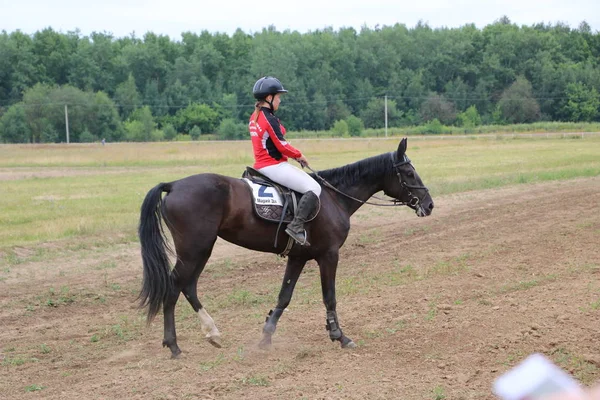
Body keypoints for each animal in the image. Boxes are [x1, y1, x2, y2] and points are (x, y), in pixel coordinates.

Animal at [138, 139, 434, 358]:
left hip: (200, 250)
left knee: (186, 286)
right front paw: (339, 336)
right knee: (175, 285)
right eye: (409, 172)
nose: (429, 204)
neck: (333, 197)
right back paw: (174, 345)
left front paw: (266, 336)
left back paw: (211, 333)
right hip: (195, 250)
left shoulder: (298, 257)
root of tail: (174, 185)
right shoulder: (329, 255)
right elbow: (330, 297)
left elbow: (284, 296)